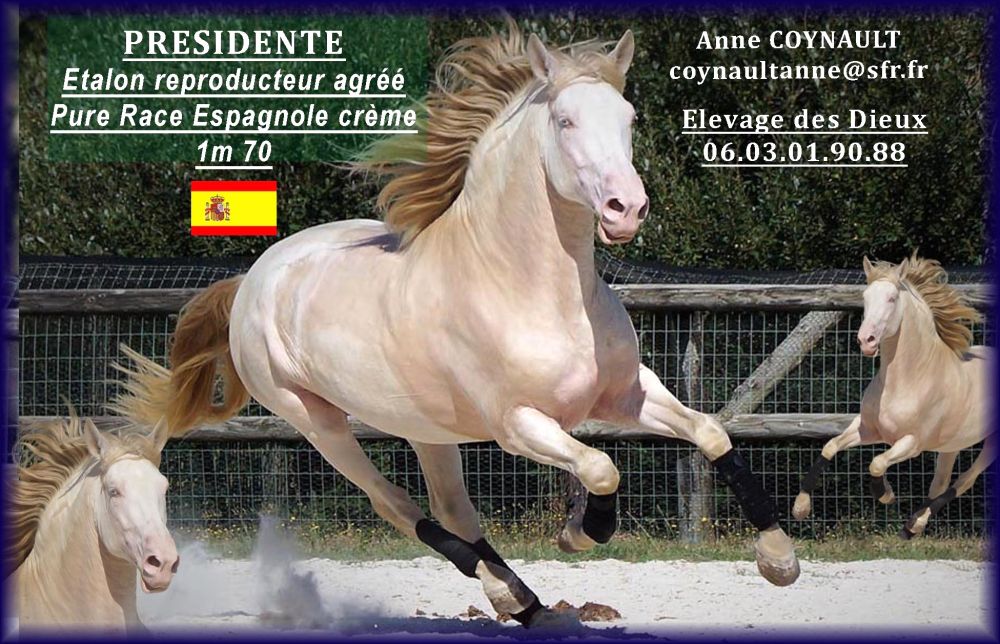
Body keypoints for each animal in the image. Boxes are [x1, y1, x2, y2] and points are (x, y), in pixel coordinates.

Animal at [115, 23, 799, 626]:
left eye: (629, 119)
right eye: (565, 121)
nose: (624, 209)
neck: (533, 289)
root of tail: (254, 278)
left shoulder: (626, 394)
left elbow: (710, 433)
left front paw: (778, 560)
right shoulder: (518, 424)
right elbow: (602, 467)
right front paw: (580, 533)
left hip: (428, 429)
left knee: (454, 508)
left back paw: (523, 603)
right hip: (312, 419)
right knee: (397, 505)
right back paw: (509, 594)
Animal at [793, 253, 993, 538]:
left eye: (891, 298)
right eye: (865, 297)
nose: (866, 341)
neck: (907, 380)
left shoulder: (912, 443)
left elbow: (876, 463)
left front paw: (885, 494)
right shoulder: (868, 429)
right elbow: (830, 446)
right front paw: (800, 508)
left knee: (964, 481)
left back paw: (912, 525)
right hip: (951, 445)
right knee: (940, 484)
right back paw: (914, 526)